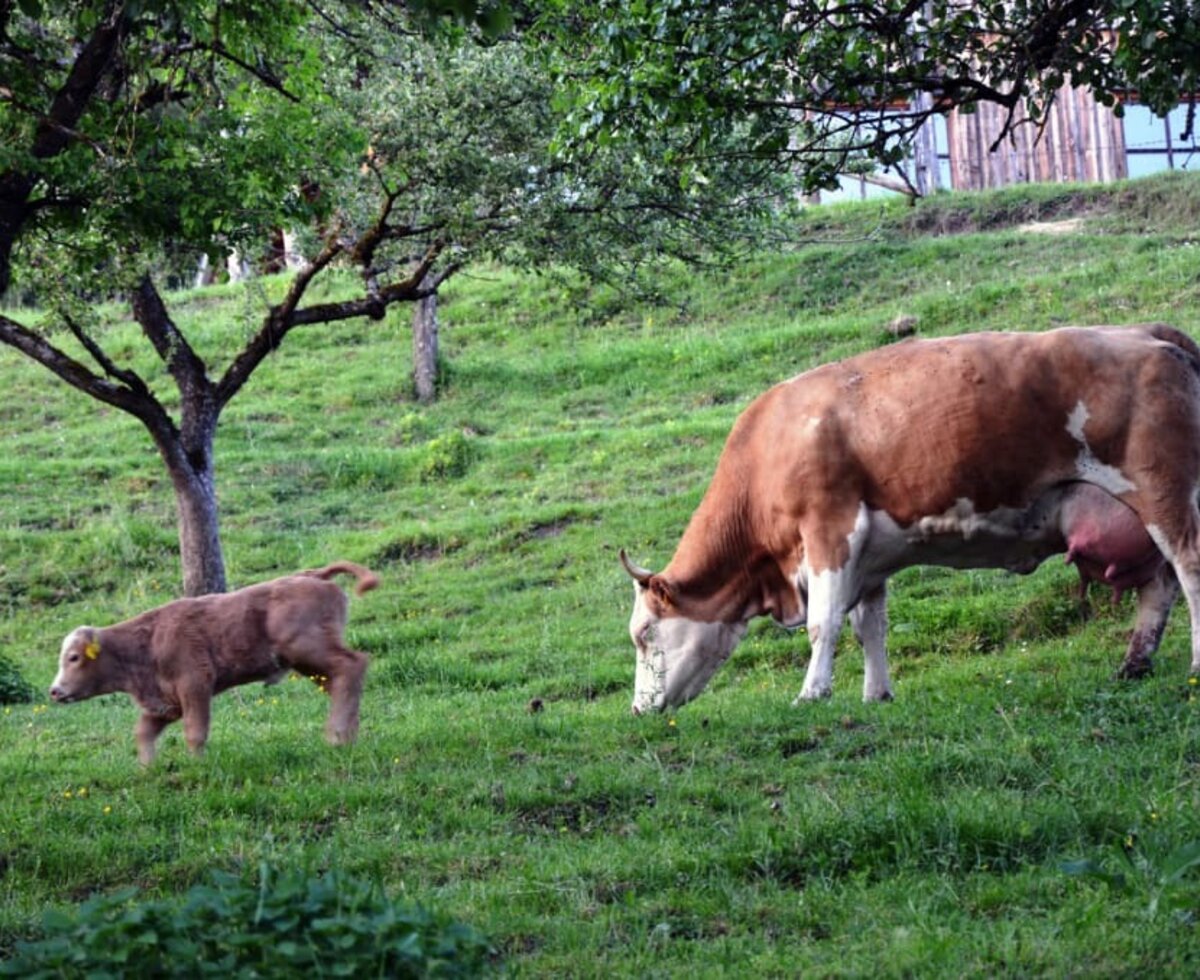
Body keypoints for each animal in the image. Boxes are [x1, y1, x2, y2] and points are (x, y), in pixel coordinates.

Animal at [50, 558, 379, 762]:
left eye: (73, 657)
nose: (54, 691)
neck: (149, 639)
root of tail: (313, 575)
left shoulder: (195, 684)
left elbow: (195, 732)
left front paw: (197, 764)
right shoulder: (165, 702)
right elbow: (143, 732)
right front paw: (148, 768)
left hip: (309, 650)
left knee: (352, 666)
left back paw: (337, 735)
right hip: (309, 663)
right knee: (341, 682)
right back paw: (347, 735)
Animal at [624, 323, 1200, 714]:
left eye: (644, 634)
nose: (637, 709)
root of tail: (1143, 332)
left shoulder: (829, 529)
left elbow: (823, 624)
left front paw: (812, 692)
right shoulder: (870, 559)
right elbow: (868, 627)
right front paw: (876, 693)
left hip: (1164, 491)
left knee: (1188, 570)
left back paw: (1193, 664)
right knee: (1159, 586)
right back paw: (1134, 663)